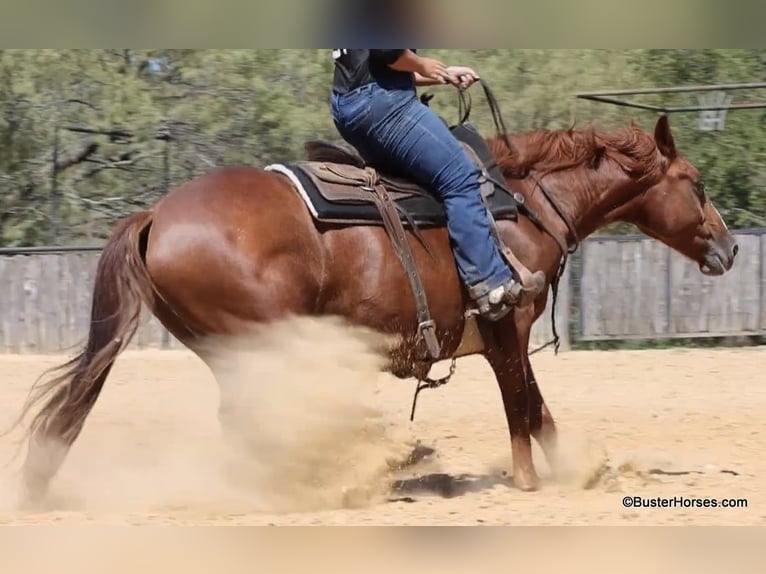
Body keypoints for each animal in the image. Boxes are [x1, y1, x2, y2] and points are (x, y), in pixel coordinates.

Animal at [14, 112, 737, 502]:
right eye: (697, 184)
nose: (730, 248)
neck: (523, 204)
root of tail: (157, 216)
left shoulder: (508, 336)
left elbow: (537, 409)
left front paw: (576, 473)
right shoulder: (506, 325)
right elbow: (522, 406)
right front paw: (535, 482)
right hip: (260, 341)